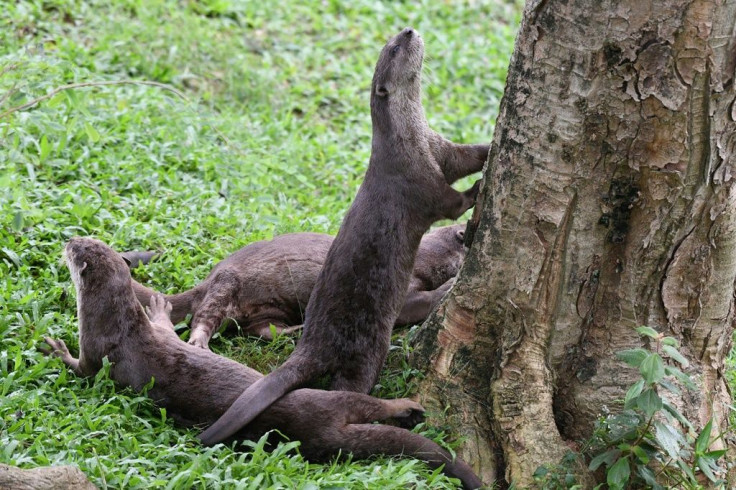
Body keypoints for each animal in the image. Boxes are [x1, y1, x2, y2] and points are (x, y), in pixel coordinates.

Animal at [129, 224, 466, 346]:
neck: (427, 256)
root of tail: (210, 276)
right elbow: (416, 303)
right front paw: (449, 285)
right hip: (225, 284)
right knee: (203, 317)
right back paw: (199, 343)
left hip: (266, 310)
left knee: (264, 331)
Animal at [201, 28, 488, 446]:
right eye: (395, 49)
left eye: (395, 38)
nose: (409, 30)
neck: (407, 141)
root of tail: (311, 345)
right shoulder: (419, 182)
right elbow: (451, 202)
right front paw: (479, 190)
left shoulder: (439, 148)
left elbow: (465, 155)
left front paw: (493, 147)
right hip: (364, 347)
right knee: (350, 387)